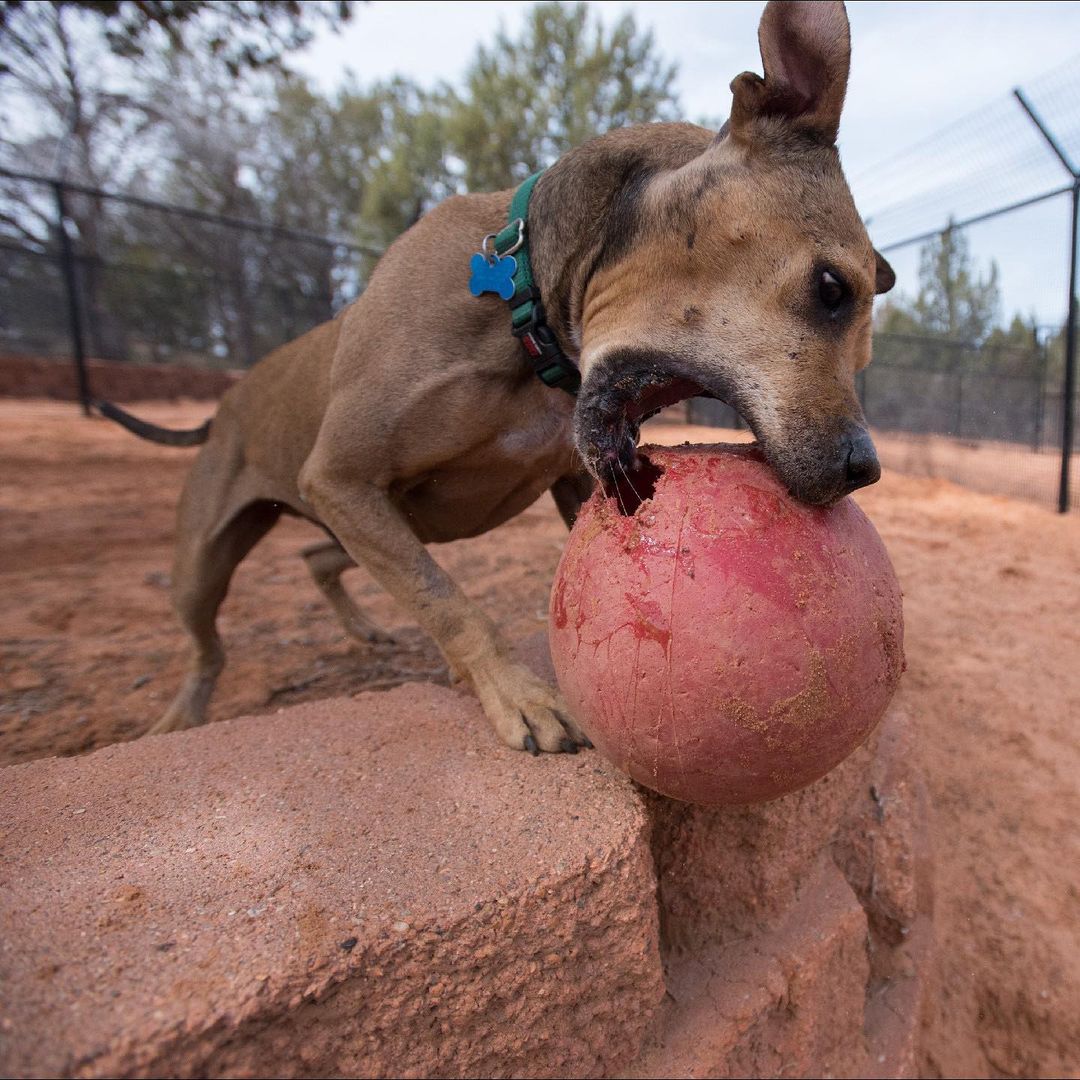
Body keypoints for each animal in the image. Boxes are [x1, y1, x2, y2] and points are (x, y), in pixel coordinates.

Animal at [101, 2, 894, 751]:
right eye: (832, 289)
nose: (865, 469)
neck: (527, 319)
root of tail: (226, 403)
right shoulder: (340, 478)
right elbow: (446, 599)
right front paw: (518, 695)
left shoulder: (569, 482)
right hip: (204, 564)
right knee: (209, 644)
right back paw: (180, 715)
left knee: (317, 555)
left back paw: (360, 628)